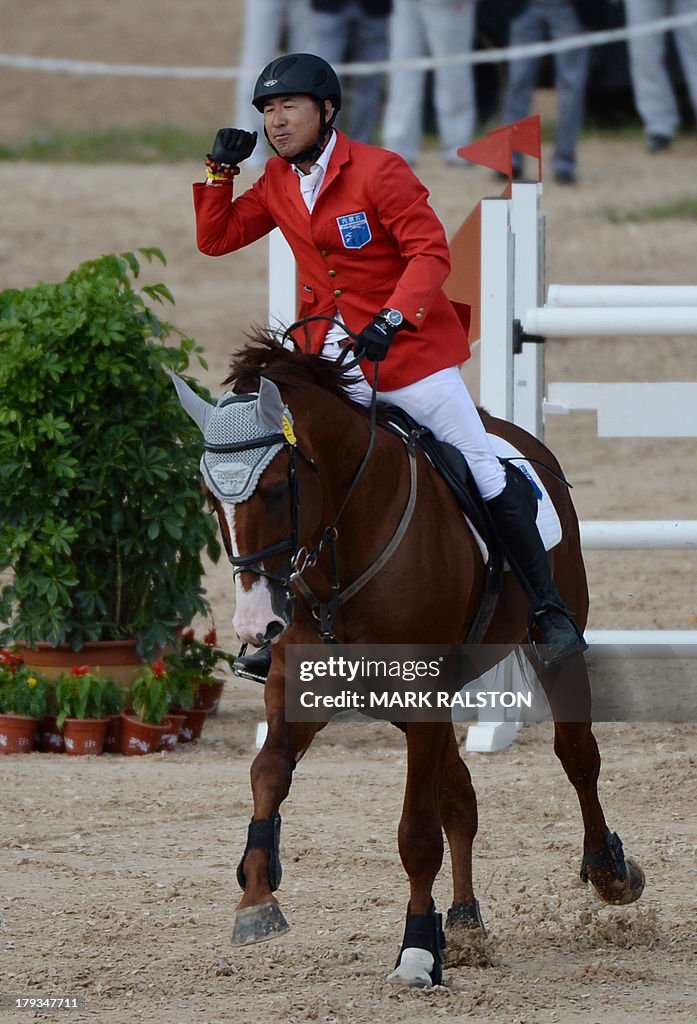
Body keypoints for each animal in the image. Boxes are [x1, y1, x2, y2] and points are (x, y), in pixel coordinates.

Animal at [170, 339, 642, 987]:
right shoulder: (302, 685)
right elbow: (268, 774)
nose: (254, 626)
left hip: (548, 648)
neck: (343, 546)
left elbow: (417, 832)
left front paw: (417, 951)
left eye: (275, 492)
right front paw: (257, 898)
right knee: (460, 795)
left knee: (576, 755)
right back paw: (464, 922)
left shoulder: (421, 692)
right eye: (211, 499)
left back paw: (608, 871)